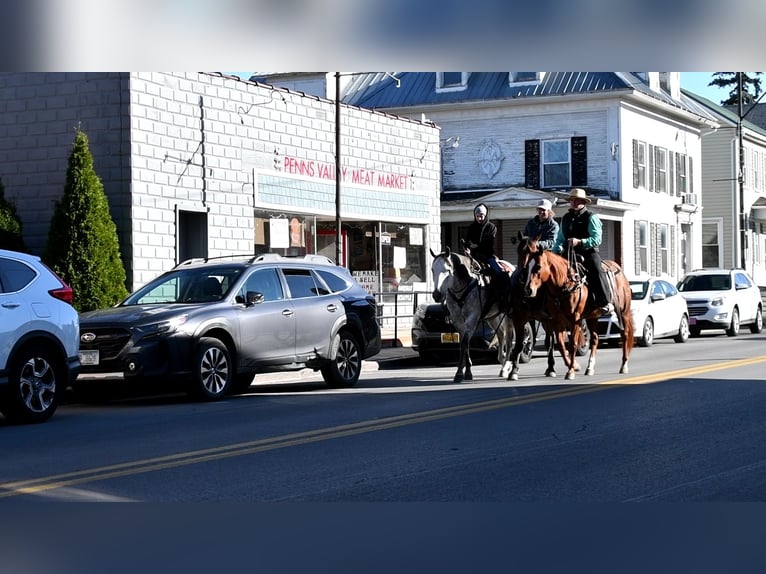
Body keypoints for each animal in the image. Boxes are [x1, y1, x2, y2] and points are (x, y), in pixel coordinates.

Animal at [432, 249, 516, 388]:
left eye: (447, 270)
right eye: (432, 270)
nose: (436, 295)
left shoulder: (472, 318)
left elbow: (465, 342)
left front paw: (459, 374)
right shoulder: (457, 320)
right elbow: (464, 343)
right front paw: (467, 372)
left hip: (508, 317)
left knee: (509, 339)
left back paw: (505, 368)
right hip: (492, 317)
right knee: (500, 334)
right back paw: (502, 362)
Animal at [512, 236, 632, 380]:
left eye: (538, 266)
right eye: (521, 256)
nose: (527, 290)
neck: (564, 284)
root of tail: (618, 268)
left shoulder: (575, 320)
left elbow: (572, 344)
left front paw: (570, 371)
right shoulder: (555, 320)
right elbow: (561, 345)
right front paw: (571, 367)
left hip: (624, 312)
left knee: (624, 334)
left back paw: (624, 365)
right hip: (592, 317)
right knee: (595, 339)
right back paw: (589, 368)